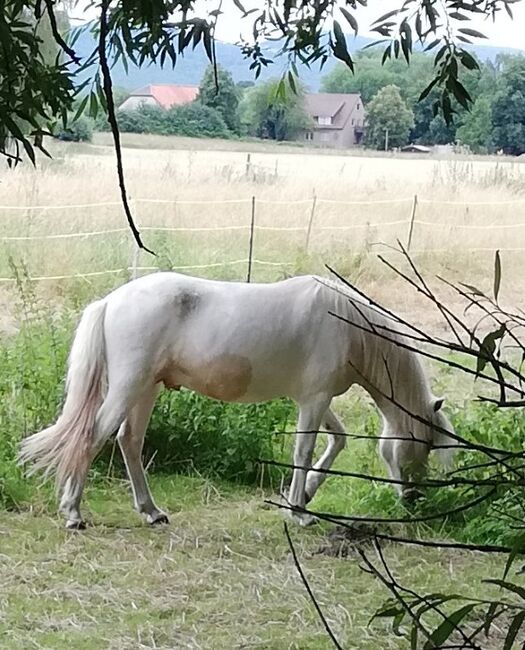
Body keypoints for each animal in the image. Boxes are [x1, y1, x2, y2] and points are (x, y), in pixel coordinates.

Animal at [19, 268, 454, 528]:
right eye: (424, 446)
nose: (413, 500)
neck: (346, 324)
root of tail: (110, 300)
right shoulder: (313, 400)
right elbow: (304, 451)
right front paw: (299, 513)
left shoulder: (317, 400)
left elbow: (337, 441)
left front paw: (305, 495)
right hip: (129, 386)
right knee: (92, 437)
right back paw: (73, 512)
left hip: (147, 388)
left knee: (129, 441)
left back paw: (151, 512)